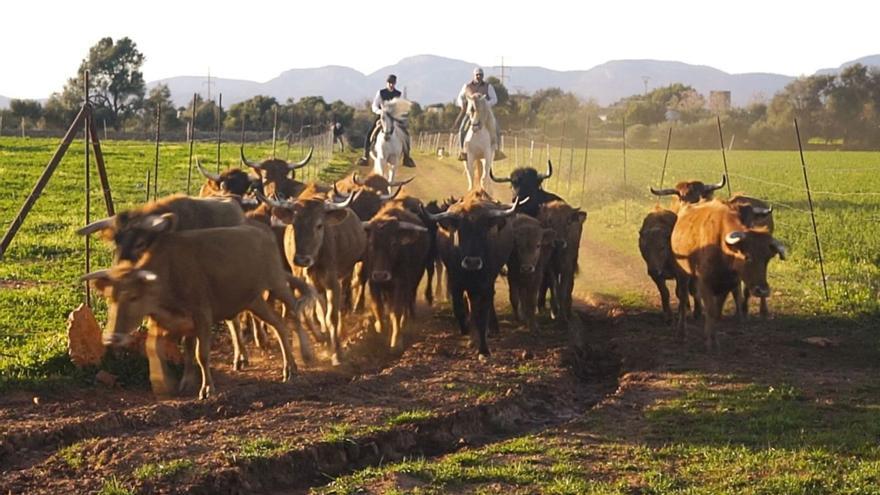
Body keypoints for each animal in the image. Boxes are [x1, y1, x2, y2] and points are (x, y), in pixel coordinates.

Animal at [80, 223, 312, 402]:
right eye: (110, 297)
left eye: (133, 297)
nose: (112, 338)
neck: (168, 274)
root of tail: (262, 233)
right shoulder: (166, 322)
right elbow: (158, 349)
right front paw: (166, 383)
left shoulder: (202, 316)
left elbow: (201, 354)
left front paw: (207, 388)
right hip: (254, 301)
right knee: (278, 324)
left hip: (277, 285)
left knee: (292, 313)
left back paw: (299, 360)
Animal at [672, 200, 788, 350]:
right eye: (747, 256)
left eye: (767, 258)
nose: (762, 290)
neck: (723, 248)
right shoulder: (705, 283)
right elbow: (710, 310)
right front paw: (712, 343)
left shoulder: (728, 284)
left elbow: (716, 312)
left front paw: (711, 338)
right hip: (682, 274)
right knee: (683, 298)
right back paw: (681, 333)